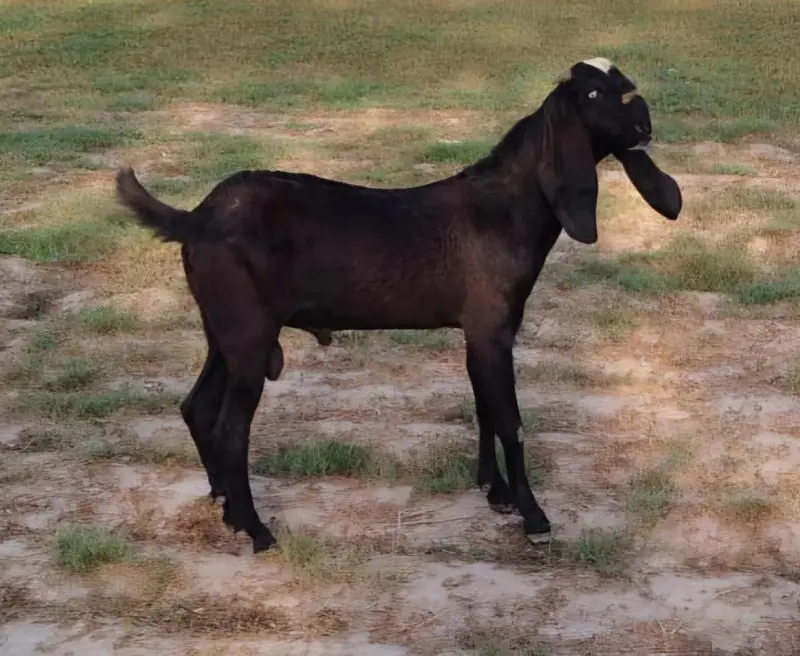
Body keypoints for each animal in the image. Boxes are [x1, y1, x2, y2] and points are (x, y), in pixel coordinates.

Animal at [115, 57, 682, 553]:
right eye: (594, 94)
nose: (646, 121)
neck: (503, 207)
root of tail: (197, 218)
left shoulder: (479, 330)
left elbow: (483, 406)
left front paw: (494, 492)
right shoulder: (491, 326)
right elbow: (510, 421)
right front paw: (534, 517)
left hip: (223, 331)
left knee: (197, 407)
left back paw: (226, 506)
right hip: (250, 334)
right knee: (231, 429)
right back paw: (256, 530)